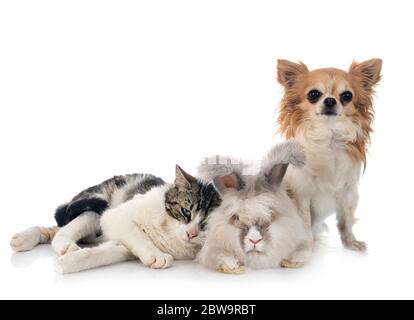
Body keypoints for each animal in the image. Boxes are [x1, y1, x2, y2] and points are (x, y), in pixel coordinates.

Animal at [9, 165, 222, 272]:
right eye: (186, 211)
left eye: (205, 224)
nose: (191, 234)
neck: (168, 231)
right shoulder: (116, 217)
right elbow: (139, 236)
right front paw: (156, 255)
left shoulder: (123, 247)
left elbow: (101, 254)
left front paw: (67, 263)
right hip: (95, 209)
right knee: (60, 230)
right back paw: (55, 243)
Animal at [196, 140, 308, 272]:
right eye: (237, 217)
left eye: (271, 214)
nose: (255, 240)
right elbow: (220, 255)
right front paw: (231, 265)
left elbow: (301, 251)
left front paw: (292, 261)